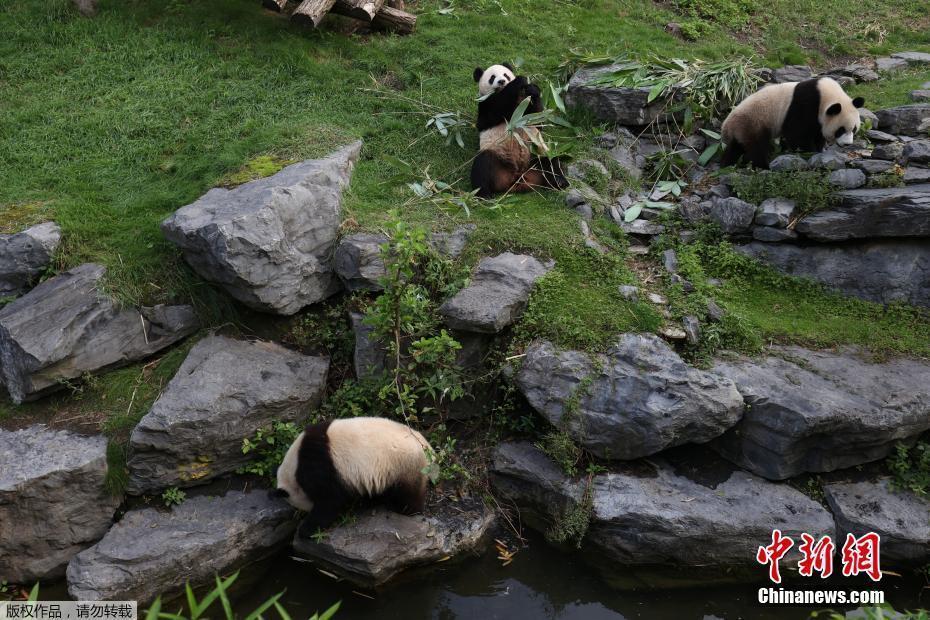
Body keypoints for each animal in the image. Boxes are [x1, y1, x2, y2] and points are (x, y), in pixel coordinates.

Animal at [272, 414, 432, 532]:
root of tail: (425, 445)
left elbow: (330, 502)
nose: (303, 513)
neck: (294, 465)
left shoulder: (318, 467)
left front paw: (306, 529)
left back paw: (405, 509)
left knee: (408, 493)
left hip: (403, 464)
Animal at [464, 63, 564, 196]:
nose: (501, 81)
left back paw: (559, 182)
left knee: (551, 161)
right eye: (492, 78)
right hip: (497, 157)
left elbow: (538, 120)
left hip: (535, 154)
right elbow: (490, 115)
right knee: (482, 165)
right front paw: (519, 81)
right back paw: (483, 194)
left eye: (505, 75)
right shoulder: (485, 104)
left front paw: (532, 88)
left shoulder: (525, 106)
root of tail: (517, 179)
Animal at [716, 77, 864, 170]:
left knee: (736, 147)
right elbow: (797, 134)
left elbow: (817, 133)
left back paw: (726, 163)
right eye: (841, 130)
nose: (847, 144)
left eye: (854, 129)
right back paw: (763, 165)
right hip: (753, 122)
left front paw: (819, 149)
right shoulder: (805, 104)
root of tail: (726, 126)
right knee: (756, 147)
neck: (825, 95)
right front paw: (809, 152)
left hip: (741, 128)